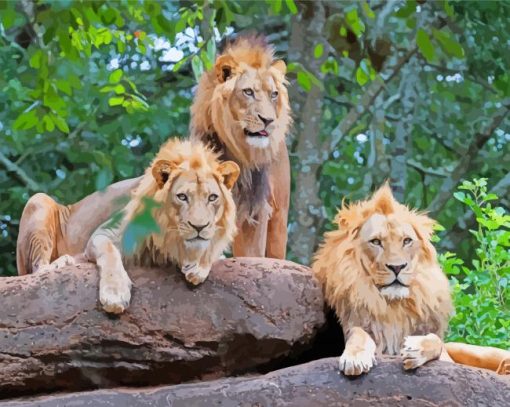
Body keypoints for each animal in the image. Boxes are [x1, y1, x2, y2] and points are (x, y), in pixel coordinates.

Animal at [189, 35, 290, 258]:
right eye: (248, 92)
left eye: (274, 94)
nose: (268, 120)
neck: (239, 152)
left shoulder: (257, 207)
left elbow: (252, 253)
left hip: (280, 215)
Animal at [312, 185, 510, 376]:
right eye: (376, 242)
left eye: (406, 241)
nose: (397, 267)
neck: (393, 306)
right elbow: (358, 332)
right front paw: (355, 357)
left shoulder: (446, 355)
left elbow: (435, 340)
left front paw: (415, 349)